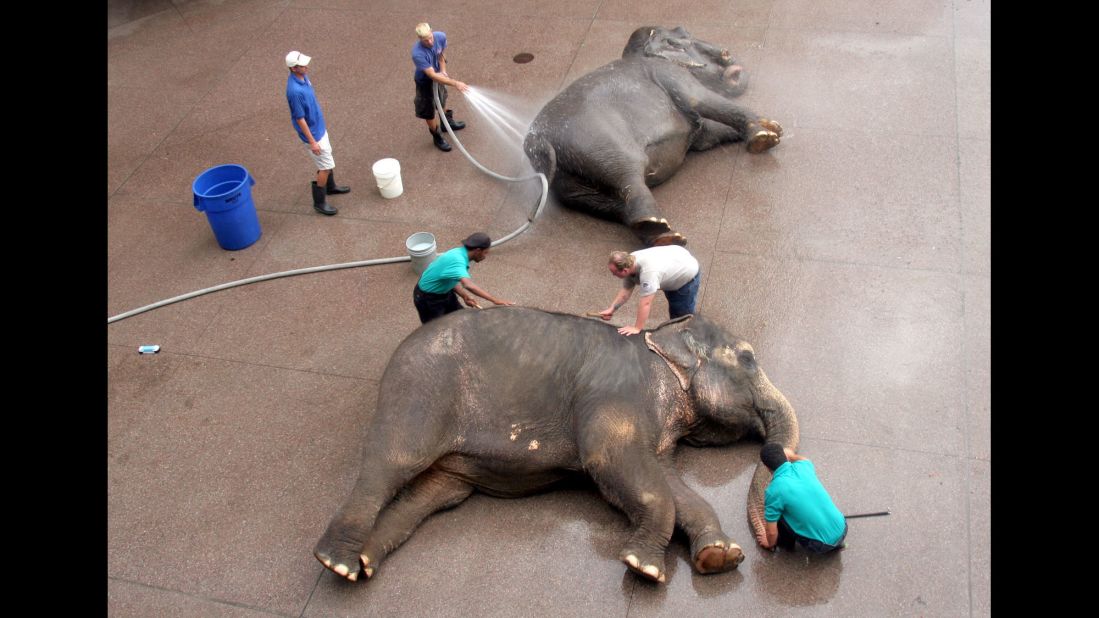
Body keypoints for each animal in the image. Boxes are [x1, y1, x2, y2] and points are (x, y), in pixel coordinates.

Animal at [314, 305, 795, 580]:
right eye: (748, 358)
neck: (661, 340)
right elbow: (617, 466)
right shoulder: (616, 397)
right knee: (390, 464)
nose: (768, 542)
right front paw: (643, 568)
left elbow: (671, 485)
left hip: (441, 449)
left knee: (429, 494)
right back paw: (335, 562)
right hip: (418, 392)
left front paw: (719, 558)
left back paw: (363, 564)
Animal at [523, 24, 782, 245]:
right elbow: (699, 99)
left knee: (610, 203)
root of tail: (538, 140)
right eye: (683, 37)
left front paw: (773, 128)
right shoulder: (669, 74)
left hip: (569, 182)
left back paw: (660, 236)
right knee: (628, 176)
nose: (730, 59)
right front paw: (768, 134)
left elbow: (708, 133)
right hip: (598, 144)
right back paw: (664, 232)